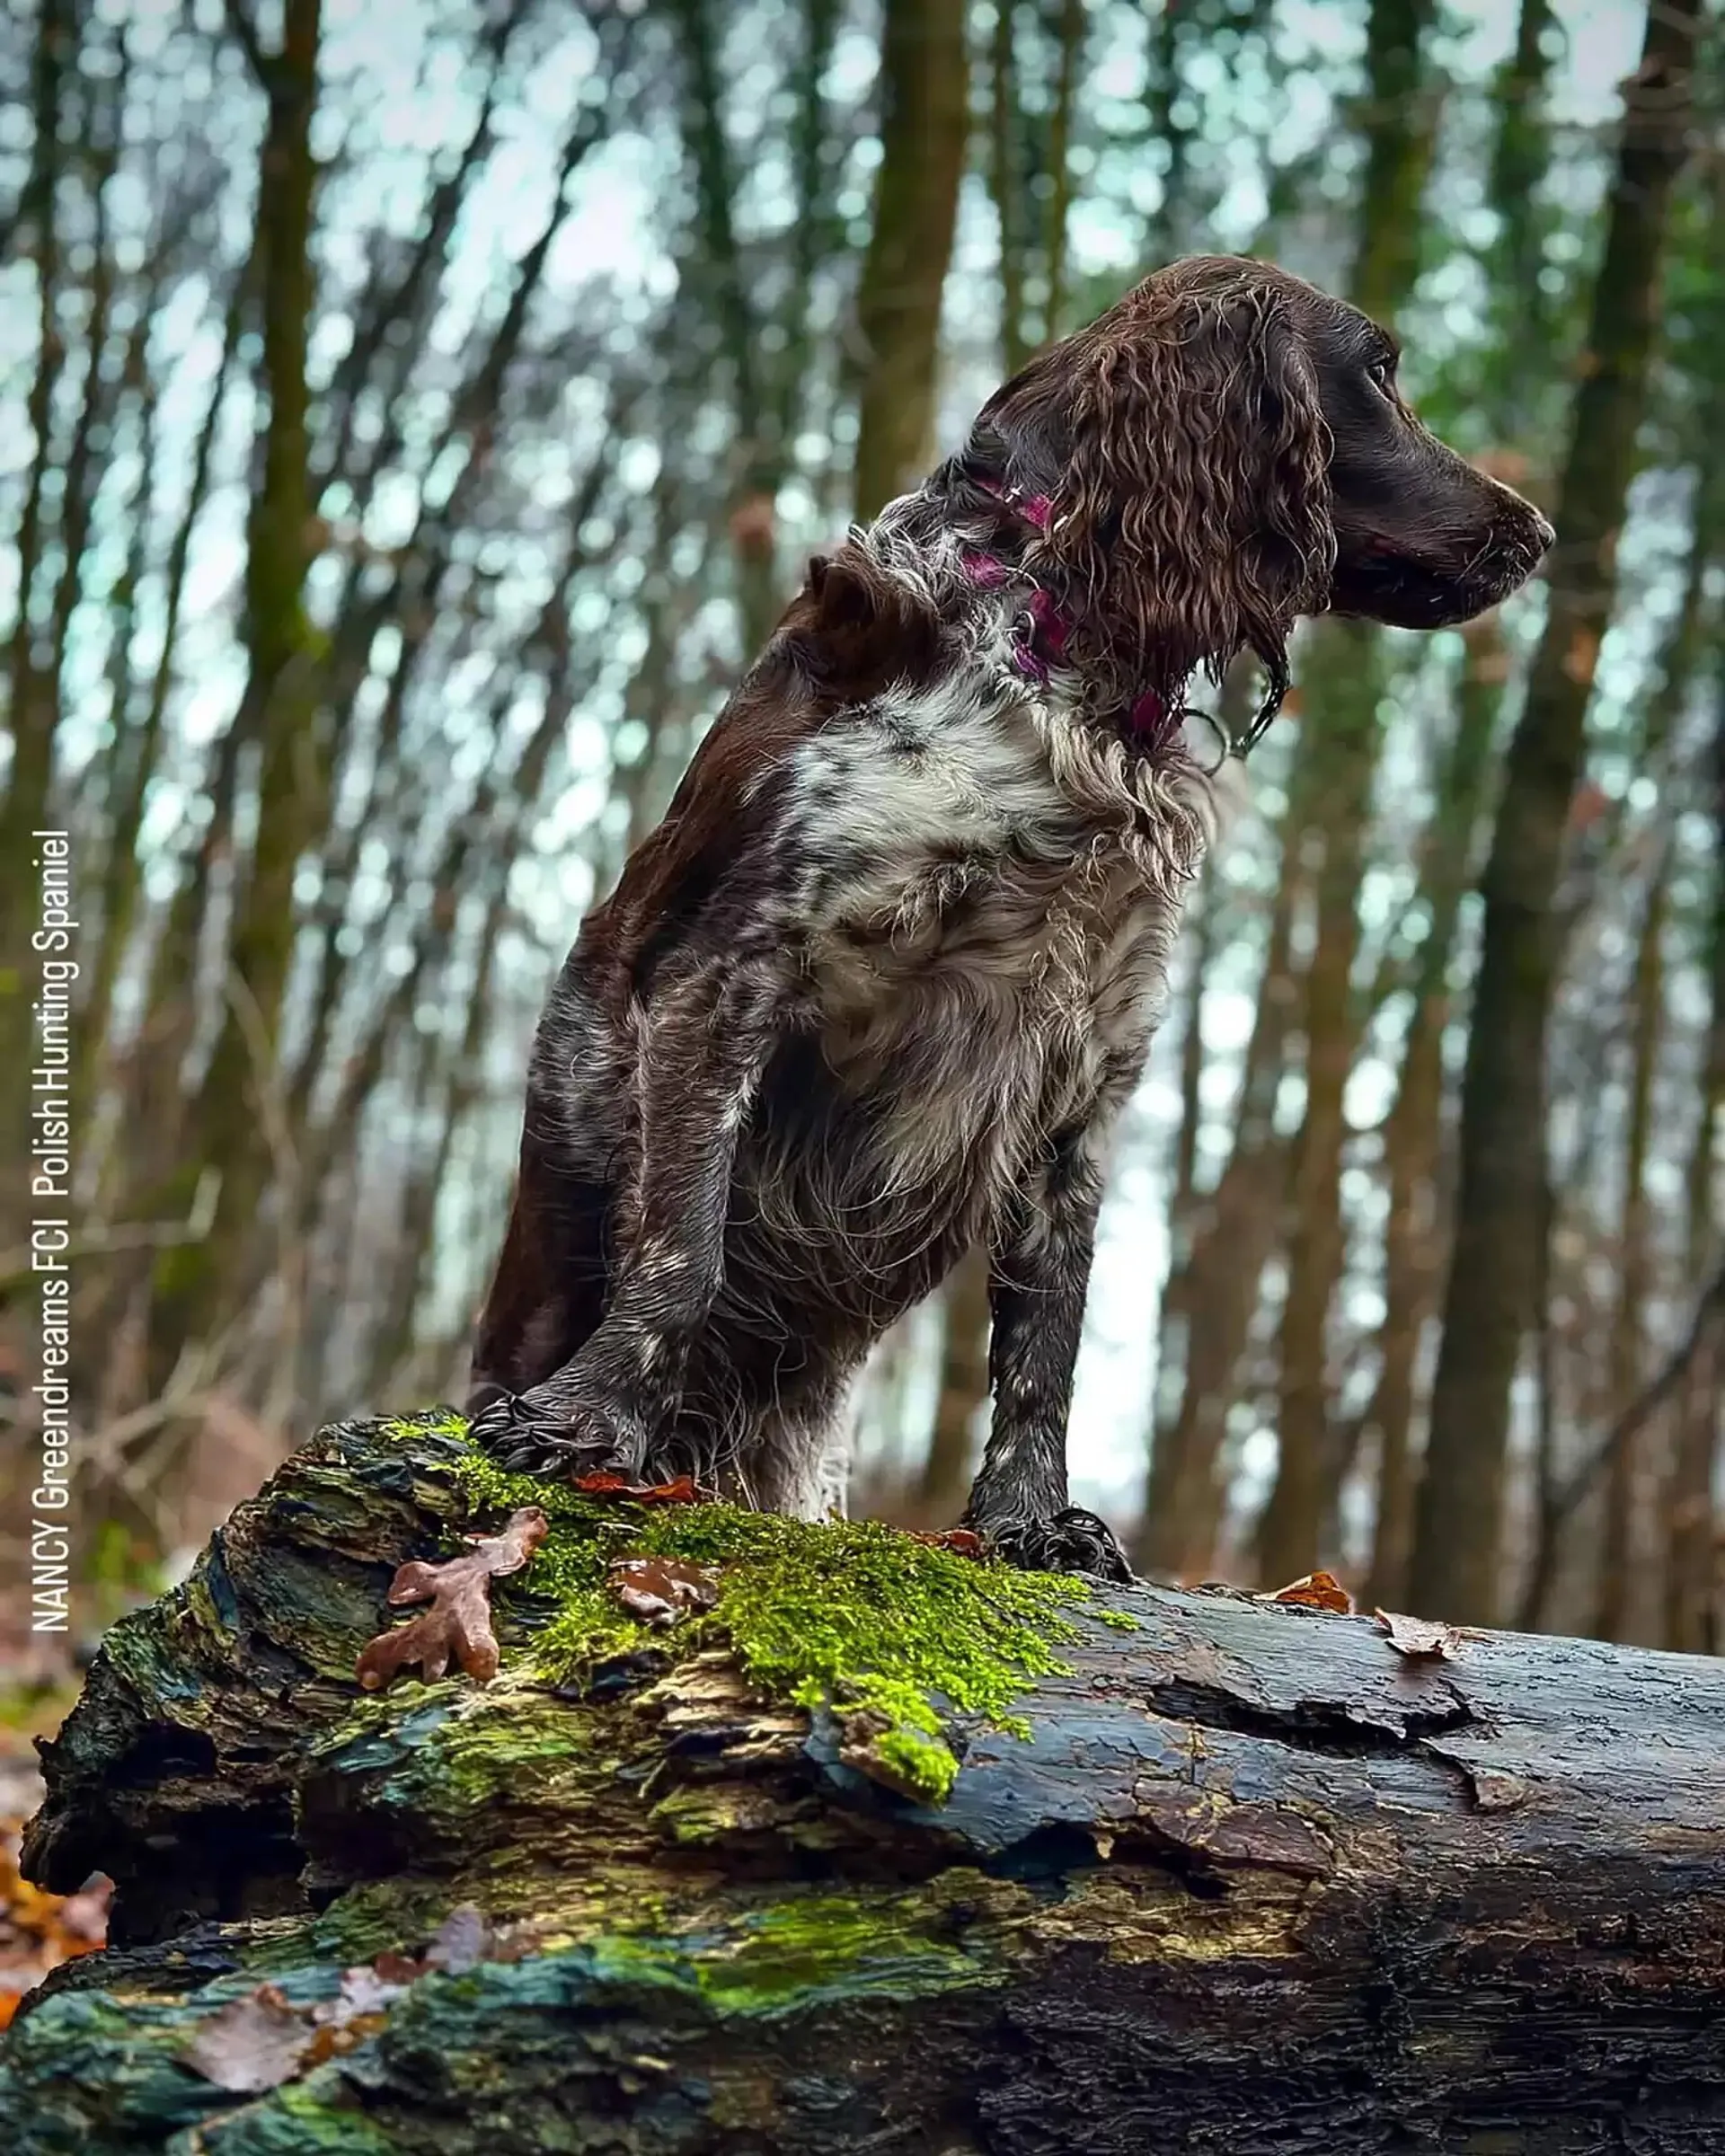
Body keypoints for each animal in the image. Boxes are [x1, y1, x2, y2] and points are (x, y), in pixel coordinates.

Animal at [465, 256, 1552, 1586]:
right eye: (1380, 374)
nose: (1540, 532)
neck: (1056, 655)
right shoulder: (731, 970)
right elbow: (683, 1240)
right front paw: (592, 1419)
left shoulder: (1081, 1063)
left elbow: (1048, 1340)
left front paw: (1028, 1522)